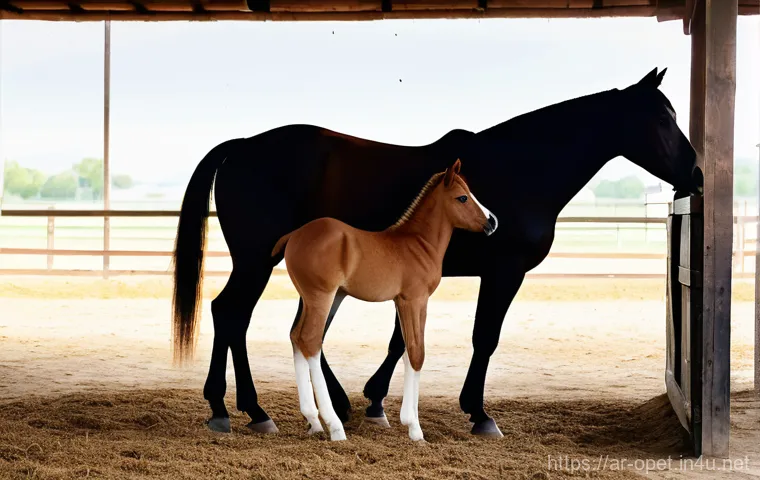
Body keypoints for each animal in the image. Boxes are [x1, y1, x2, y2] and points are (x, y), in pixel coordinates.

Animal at [271, 159, 497, 441]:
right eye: (463, 197)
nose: (492, 222)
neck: (418, 244)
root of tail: (294, 235)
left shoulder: (404, 302)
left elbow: (407, 350)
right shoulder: (414, 300)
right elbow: (416, 353)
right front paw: (415, 429)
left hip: (311, 299)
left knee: (295, 337)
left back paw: (313, 421)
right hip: (321, 297)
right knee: (310, 340)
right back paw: (335, 427)